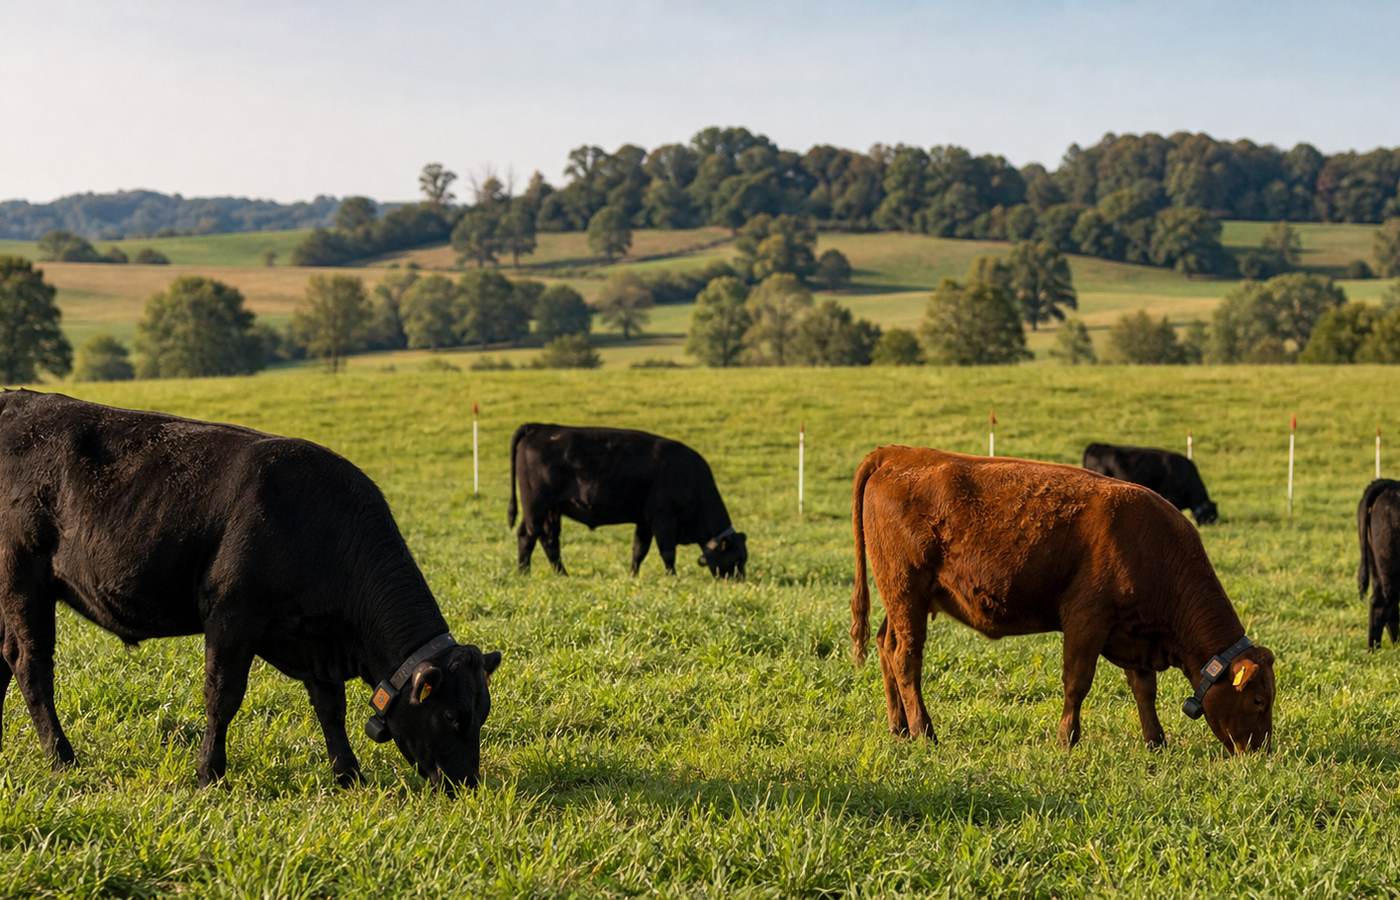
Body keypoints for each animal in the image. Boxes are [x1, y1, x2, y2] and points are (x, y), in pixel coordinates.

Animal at [0, 390, 500, 791]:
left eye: (483, 714)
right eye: (452, 717)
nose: (466, 785)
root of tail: (17, 399)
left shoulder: (316, 638)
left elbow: (331, 707)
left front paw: (348, 776)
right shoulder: (232, 615)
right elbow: (222, 697)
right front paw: (209, 774)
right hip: (23, 580)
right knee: (30, 666)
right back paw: (62, 758)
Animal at [508, 423, 746, 578]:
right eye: (737, 560)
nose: (740, 580)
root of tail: (540, 427)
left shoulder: (645, 522)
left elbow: (639, 550)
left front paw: (633, 575)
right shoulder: (663, 519)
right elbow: (667, 552)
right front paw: (673, 577)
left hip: (551, 511)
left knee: (549, 540)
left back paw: (562, 574)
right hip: (536, 506)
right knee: (527, 536)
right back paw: (523, 572)